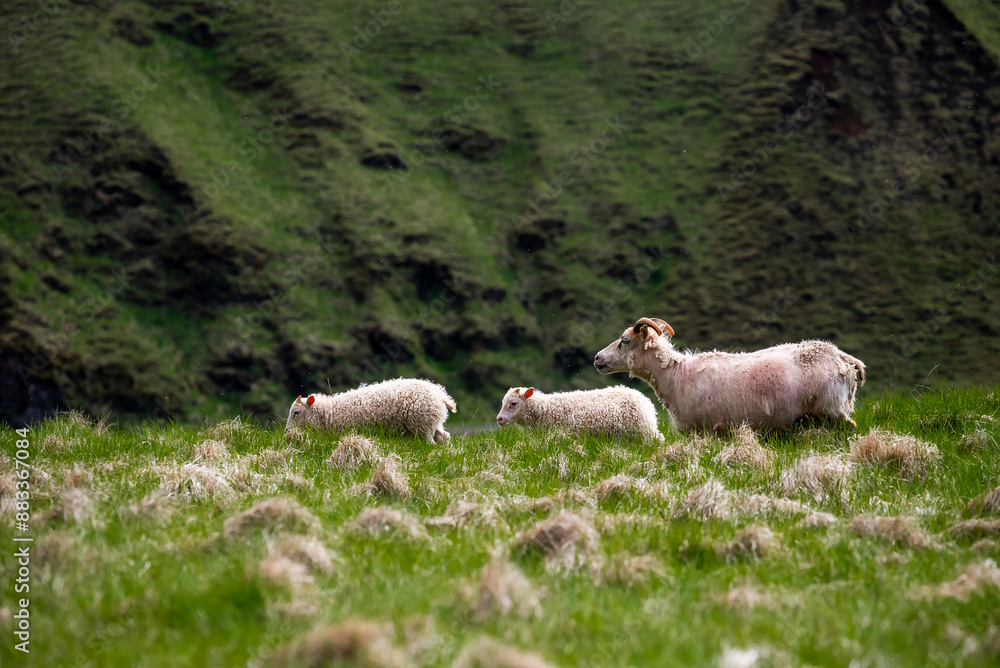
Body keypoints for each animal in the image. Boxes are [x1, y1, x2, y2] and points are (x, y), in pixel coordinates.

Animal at [285, 378, 457, 444]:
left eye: (296, 413)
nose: (287, 431)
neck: (330, 413)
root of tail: (440, 394)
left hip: (422, 426)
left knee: (431, 443)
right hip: (432, 423)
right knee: (444, 437)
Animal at [593, 317, 865, 434]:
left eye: (624, 341)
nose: (596, 358)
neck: (677, 376)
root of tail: (845, 359)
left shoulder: (702, 430)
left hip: (830, 409)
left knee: (849, 429)